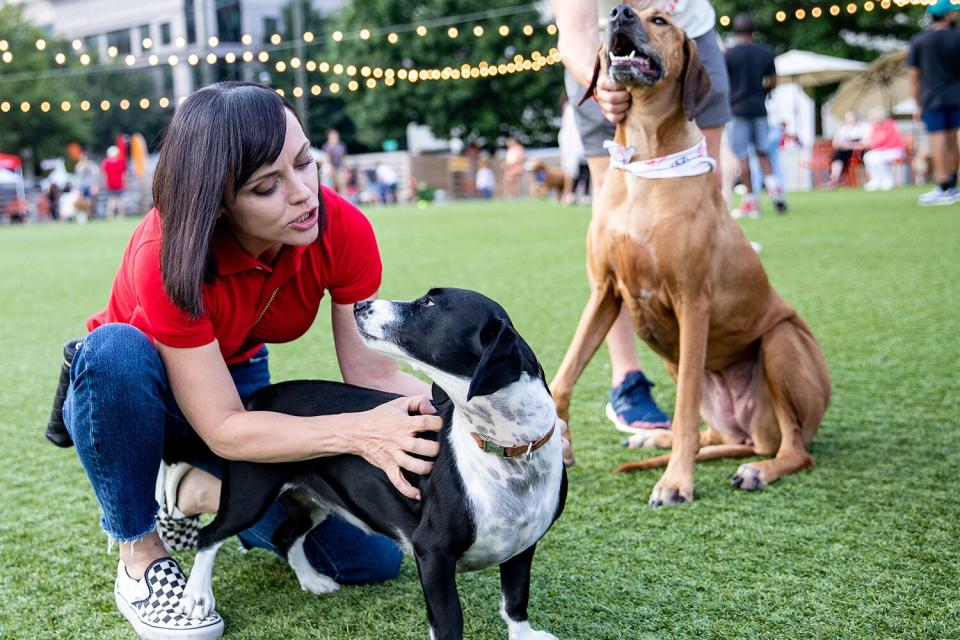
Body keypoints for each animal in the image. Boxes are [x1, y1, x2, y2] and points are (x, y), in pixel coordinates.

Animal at [182, 288, 564, 636]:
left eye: (429, 303)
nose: (360, 304)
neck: (506, 449)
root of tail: (258, 397)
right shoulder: (433, 551)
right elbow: (449, 622)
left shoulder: (523, 545)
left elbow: (515, 600)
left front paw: (525, 635)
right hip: (249, 494)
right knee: (209, 534)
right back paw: (197, 596)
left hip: (311, 499)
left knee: (285, 535)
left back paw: (312, 580)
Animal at [552, 5, 828, 504]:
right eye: (620, 11)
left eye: (660, 20)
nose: (619, 12)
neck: (644, 162)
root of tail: (755, 436)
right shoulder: (605, 292)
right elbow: (562, 378)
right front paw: (558, 442)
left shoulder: (692, 302)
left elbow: (682, 410)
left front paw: (676, 481)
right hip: (672, 354)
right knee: (712, 434)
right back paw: (654, 438)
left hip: (779, 341)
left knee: (795, 448)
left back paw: (759, 469)